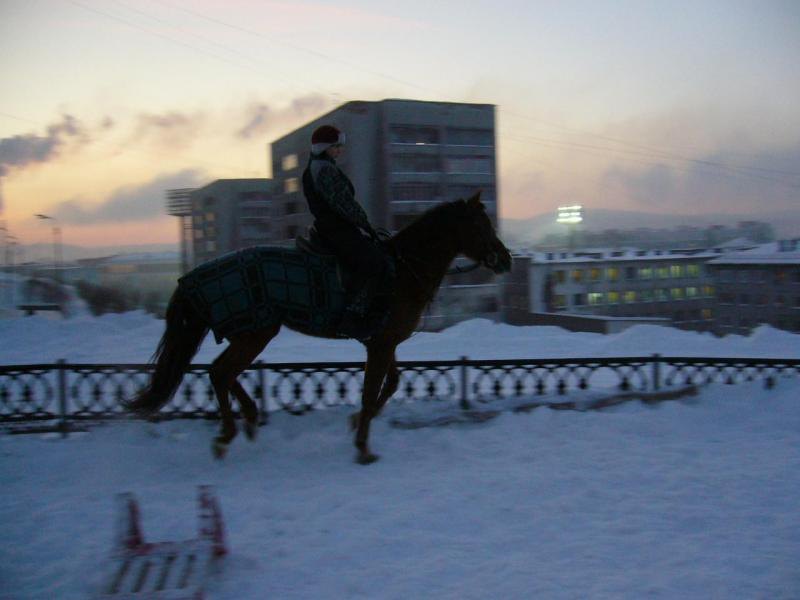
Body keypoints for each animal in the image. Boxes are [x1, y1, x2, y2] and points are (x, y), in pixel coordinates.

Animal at [126, 192, 512, 464]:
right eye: (481, 225)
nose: (505, 259)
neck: (402, 269)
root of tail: (193, 277)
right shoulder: (380, 344)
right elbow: (372, 391)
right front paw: (363, 447)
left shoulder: (384, 342)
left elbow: (390, 385)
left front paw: (355, 423)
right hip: (255, 333)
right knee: (220, 372)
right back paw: (228, 435)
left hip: (252, 333)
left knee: (222, 372)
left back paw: (247, 420)